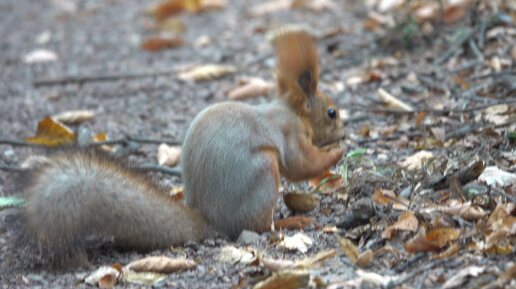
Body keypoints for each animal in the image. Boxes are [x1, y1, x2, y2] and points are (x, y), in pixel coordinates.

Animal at [20, 27, 344, 266]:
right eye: (331, 112)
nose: (343, 132)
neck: (291, 112)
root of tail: (211, 222)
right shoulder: (291, 135)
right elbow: (301, 164)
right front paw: (336, 154)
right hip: (263, 172)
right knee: (258, 227)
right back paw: (294, 221)